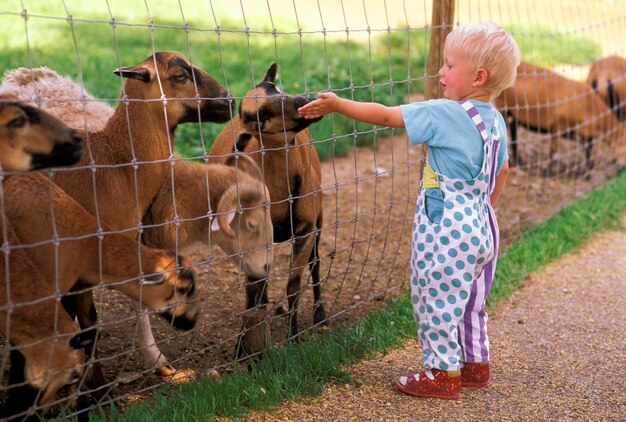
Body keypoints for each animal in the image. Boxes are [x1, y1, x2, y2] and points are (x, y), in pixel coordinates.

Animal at [210, 61, 326, 354]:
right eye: (259, 118)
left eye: (276, 88)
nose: (302, 102)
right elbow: (253, 289)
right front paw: (243, 348)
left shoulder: (306, 227)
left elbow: (293, 285)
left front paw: (294, 337)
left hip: (319, 218)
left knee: (316, 263)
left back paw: (320, 315)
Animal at [492, 61, 620, 175]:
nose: (620, 169)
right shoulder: (557, 126)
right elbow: (553, 150)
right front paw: (547, 172)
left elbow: (588, 148)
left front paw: (590, 167)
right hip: (503, 108)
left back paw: (519, 161)